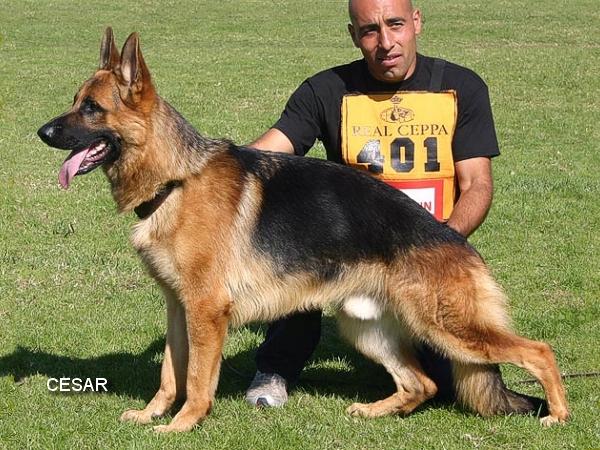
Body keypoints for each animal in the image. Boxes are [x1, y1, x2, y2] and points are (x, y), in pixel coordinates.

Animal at [35, 29, 568, 432]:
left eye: (91, 108)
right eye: (75, 102)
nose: (41, 132)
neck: (176, 179)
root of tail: (453, 239)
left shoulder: (206, 312)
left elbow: (198, 381)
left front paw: (182, 426)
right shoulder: (178, 309)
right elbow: (170, 373)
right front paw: (152, 415)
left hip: (447, 327)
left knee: (538, 351)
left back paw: (558, 415)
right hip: (365, 326)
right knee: (424, 383)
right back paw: (374, 411)